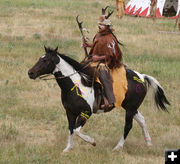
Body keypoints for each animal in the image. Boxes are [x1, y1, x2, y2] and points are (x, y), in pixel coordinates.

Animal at [27, 46, 169, 152]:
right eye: (40, 58)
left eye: (45, 60)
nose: (30, 73)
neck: (76, 85)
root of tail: (141, 77)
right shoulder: (70, 112)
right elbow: (71, 129)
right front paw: (68, 149)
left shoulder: (86, 113)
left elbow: (77, 130)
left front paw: (92, 142)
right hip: (131, 108)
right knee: (142, 121)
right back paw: (148, 143)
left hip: (130, 109)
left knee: (128, 126)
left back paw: (118, 147)